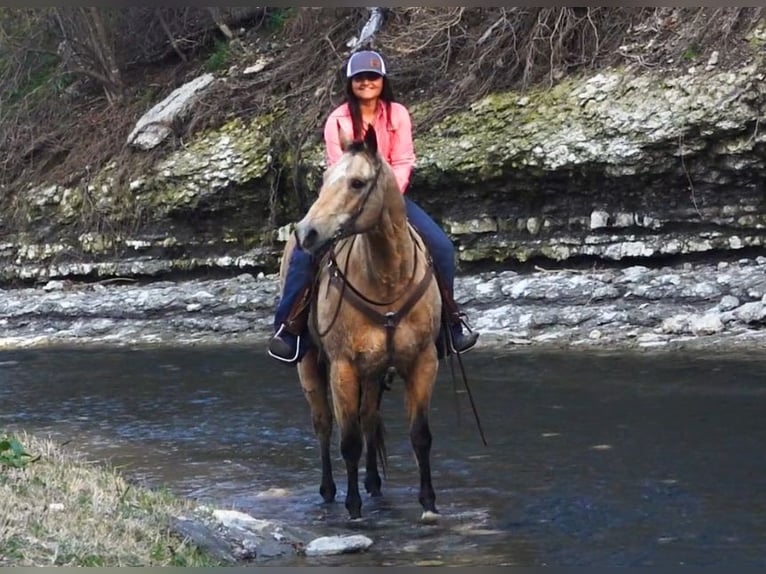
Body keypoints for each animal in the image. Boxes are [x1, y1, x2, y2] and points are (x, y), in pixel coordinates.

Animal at [280, 128, 440, 524]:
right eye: (324, 179)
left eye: (357, 182)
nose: (308, 233)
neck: (387, 280)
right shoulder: (343, 368)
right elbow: (348, 441)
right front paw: (353, 508)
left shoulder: (423, 361)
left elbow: (420, 435)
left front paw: (429, 503)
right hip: (310, 365)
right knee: (323, 423)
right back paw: (329, 491)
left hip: (374, 373)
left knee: (368, 418)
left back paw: (374, 484)